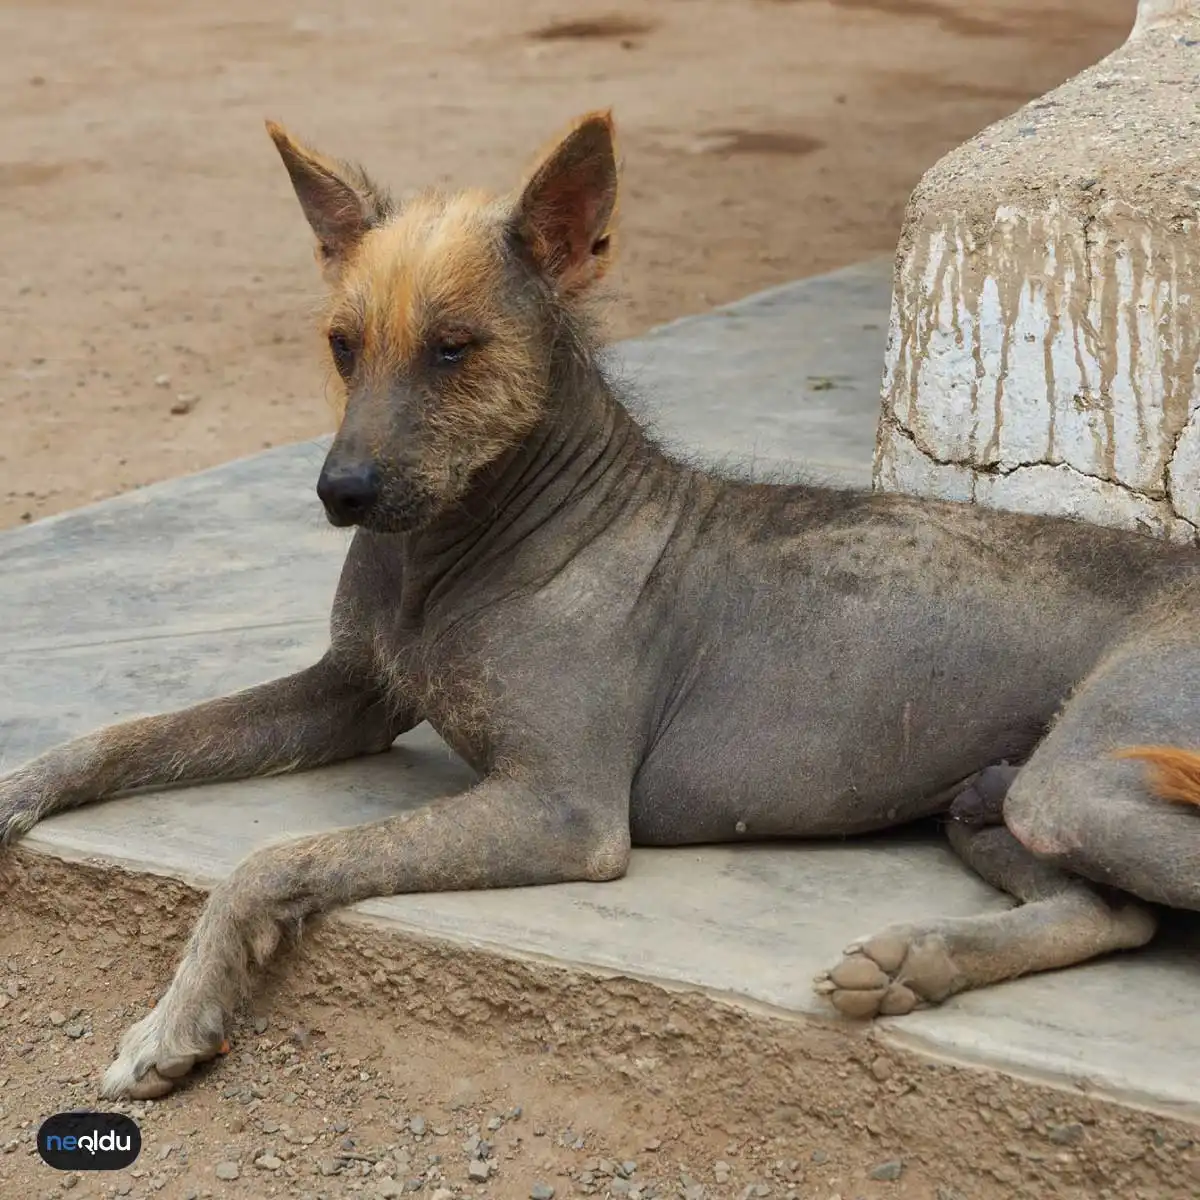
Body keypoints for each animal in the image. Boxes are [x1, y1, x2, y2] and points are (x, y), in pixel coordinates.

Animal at [2, 110, 1200, 1099]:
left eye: (455, 349)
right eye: (343, 347)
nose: (342, 493)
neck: (450, 555)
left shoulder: (559, 811)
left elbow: (271, 863)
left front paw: (174, 1021)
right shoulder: (348, 696)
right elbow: (127, 736)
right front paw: (23, 788)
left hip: (1077, 781)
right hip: (993, 803)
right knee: (1114, 910)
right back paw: (913, 962)